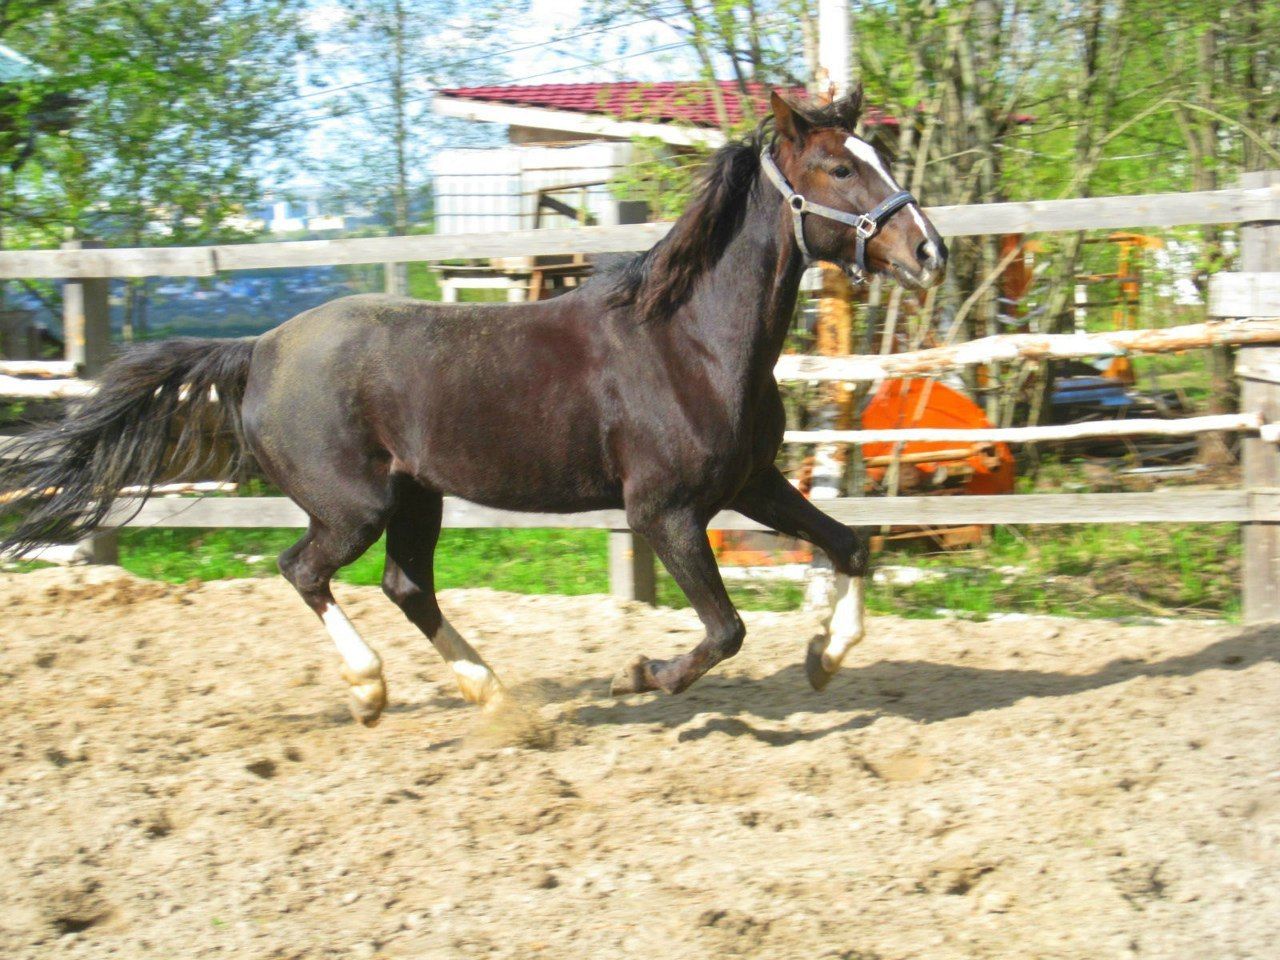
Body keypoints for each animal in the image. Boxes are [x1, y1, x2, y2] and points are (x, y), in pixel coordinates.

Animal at [0, 94, 942, 732]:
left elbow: (849, 545)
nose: (928, 250)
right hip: (355, 505)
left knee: (406, 584)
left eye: (874, 154)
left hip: (418, 495)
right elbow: (725, 630)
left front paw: (824, 656)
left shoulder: (750, 483)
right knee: (304, 570)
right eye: (840, 168)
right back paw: (371, 691)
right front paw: (635, 675)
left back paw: (492, 697)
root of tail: (259, 348)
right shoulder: (664, 512)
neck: (693, 342)